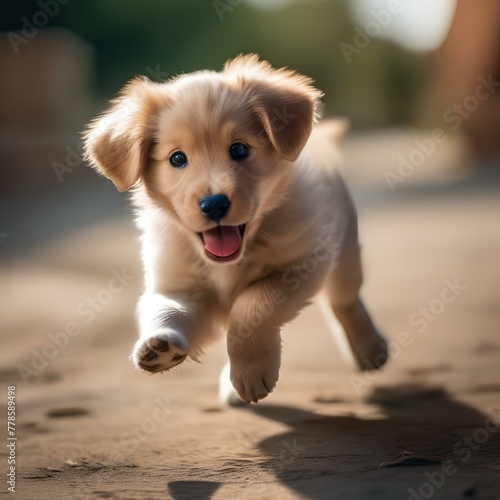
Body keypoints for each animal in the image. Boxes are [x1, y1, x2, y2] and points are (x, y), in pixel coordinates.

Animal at [84, 54, 388, 404]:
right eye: (177, 158)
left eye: (239, 149)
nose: (214, 204)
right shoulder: (178, 285)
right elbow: (165, 308)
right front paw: (158, 344)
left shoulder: (299, 264)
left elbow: (251, 307)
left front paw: (250, 372)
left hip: (345, 250)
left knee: (344, 301)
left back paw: (370, 349)